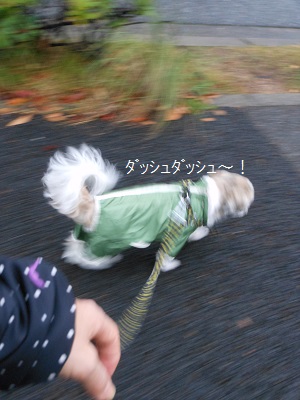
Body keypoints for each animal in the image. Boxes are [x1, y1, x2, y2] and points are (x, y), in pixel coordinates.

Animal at [41, 144, 253, 272]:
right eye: (248, 202)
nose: (246, 211)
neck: (202, 194)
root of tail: (93, 204)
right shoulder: (176, 236)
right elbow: (166, 255)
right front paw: (170, 265)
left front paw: (199, 233)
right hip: (107, 241)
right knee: (91, 255)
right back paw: (101, 262)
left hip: (86, 232)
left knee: (73, 244)